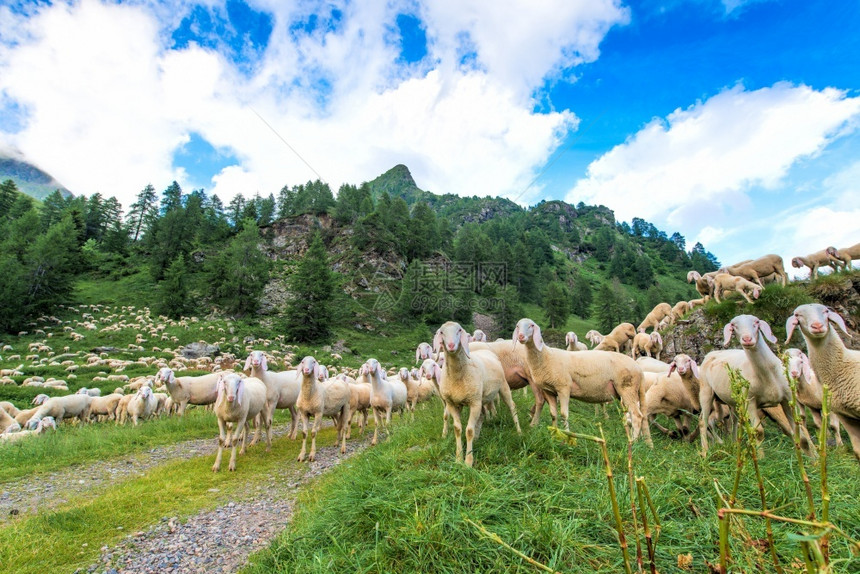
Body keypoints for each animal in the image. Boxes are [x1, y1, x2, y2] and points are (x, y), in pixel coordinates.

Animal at [434, 324, 520, 468]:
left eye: (459, 330)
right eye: (441, 332)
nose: (451, 345)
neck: (457, 375)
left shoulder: (474, 402)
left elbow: (469, 430)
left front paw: (468, 462)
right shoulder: (453, 404)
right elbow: (457, 429)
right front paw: (458, 458)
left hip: (503, 386)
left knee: (512, 407)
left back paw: (519, 432)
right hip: (481, 398)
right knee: (482, 415)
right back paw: (477, 438)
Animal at [510, 320, 652, 446]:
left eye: (531, 325)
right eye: (517, 326)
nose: (521, 337)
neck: (546, 356)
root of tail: (639, 369)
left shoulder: (564, 388)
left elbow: (564, 414)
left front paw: (567, 437)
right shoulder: (549, 391)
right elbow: (553, 414)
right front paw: (554, 435)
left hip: (627, 388)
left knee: (636, 416)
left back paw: (633, 443)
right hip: (627, 392)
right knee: (638, 417)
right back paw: (642, 442)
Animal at [700, 316, 812, 460]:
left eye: (756, 322)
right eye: (733, 326)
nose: (747, 339)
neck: (768, 374)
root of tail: (712, 353)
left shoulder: (787, 400)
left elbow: (801, 435)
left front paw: (811, 460)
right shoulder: (750, 401)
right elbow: (758, 432)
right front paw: (761, 459)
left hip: (734, 400)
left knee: (734, 422)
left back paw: (735, 445)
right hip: (706, 391)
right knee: (703, 421)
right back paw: (705, 452)